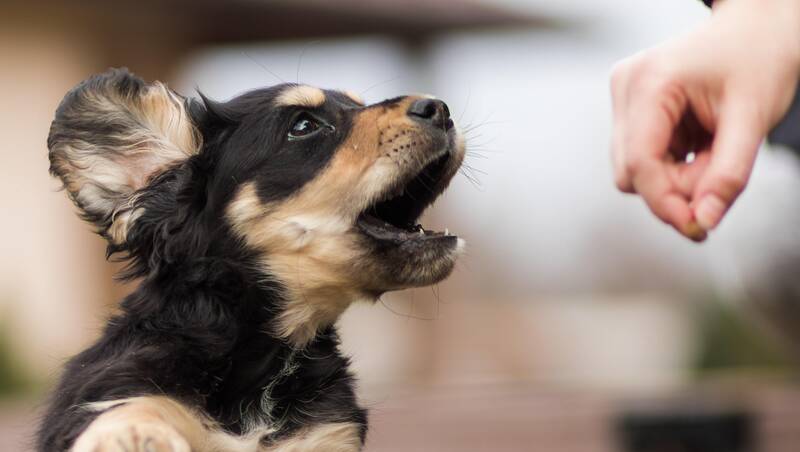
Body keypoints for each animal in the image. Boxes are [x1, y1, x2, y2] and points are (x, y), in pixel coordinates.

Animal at [36, 68, 462, 452]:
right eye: (303, 126)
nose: (440, 108)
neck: (263, 363)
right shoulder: (124, 382)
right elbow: (139, 404)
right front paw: (131, 434)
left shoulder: (325, 434)